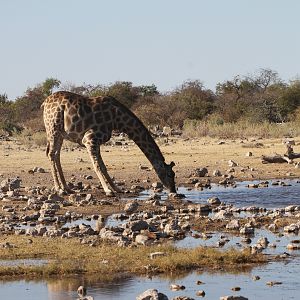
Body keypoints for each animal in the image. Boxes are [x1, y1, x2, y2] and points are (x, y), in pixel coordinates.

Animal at [42, 90, 176, 196]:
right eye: (170, 174)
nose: (173, 191)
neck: (117, 119)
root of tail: (44, 103)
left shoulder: (97, 142)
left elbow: (103, 166)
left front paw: (117, 188)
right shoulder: (90, 139)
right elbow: (96, 166)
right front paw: (108, 190)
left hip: (60, 133)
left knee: (56, 155)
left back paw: (67, 188)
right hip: (53, 128)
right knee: (51, 154)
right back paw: (59, 189)